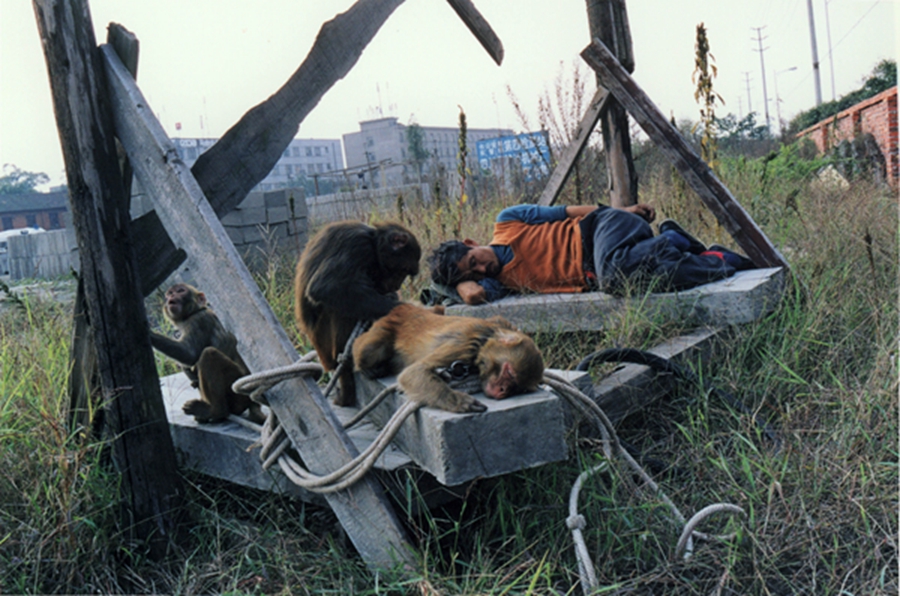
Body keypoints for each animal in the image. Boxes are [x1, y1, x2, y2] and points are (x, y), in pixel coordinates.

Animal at [296, 221, 422, 408]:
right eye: (403, 270)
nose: (397, 285)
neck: (373, 242)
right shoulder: (356, 245)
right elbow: (326, 286)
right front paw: (403, 308)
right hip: (325, 344)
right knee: (339, 309)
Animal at [352, 304, 548, 412]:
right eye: (509, 373)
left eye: (518, 387)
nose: (502, 390)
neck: (486, 338)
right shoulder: (464, 344)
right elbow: (413, 372)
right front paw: (458, 401)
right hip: (386, 325)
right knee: (367, 351)